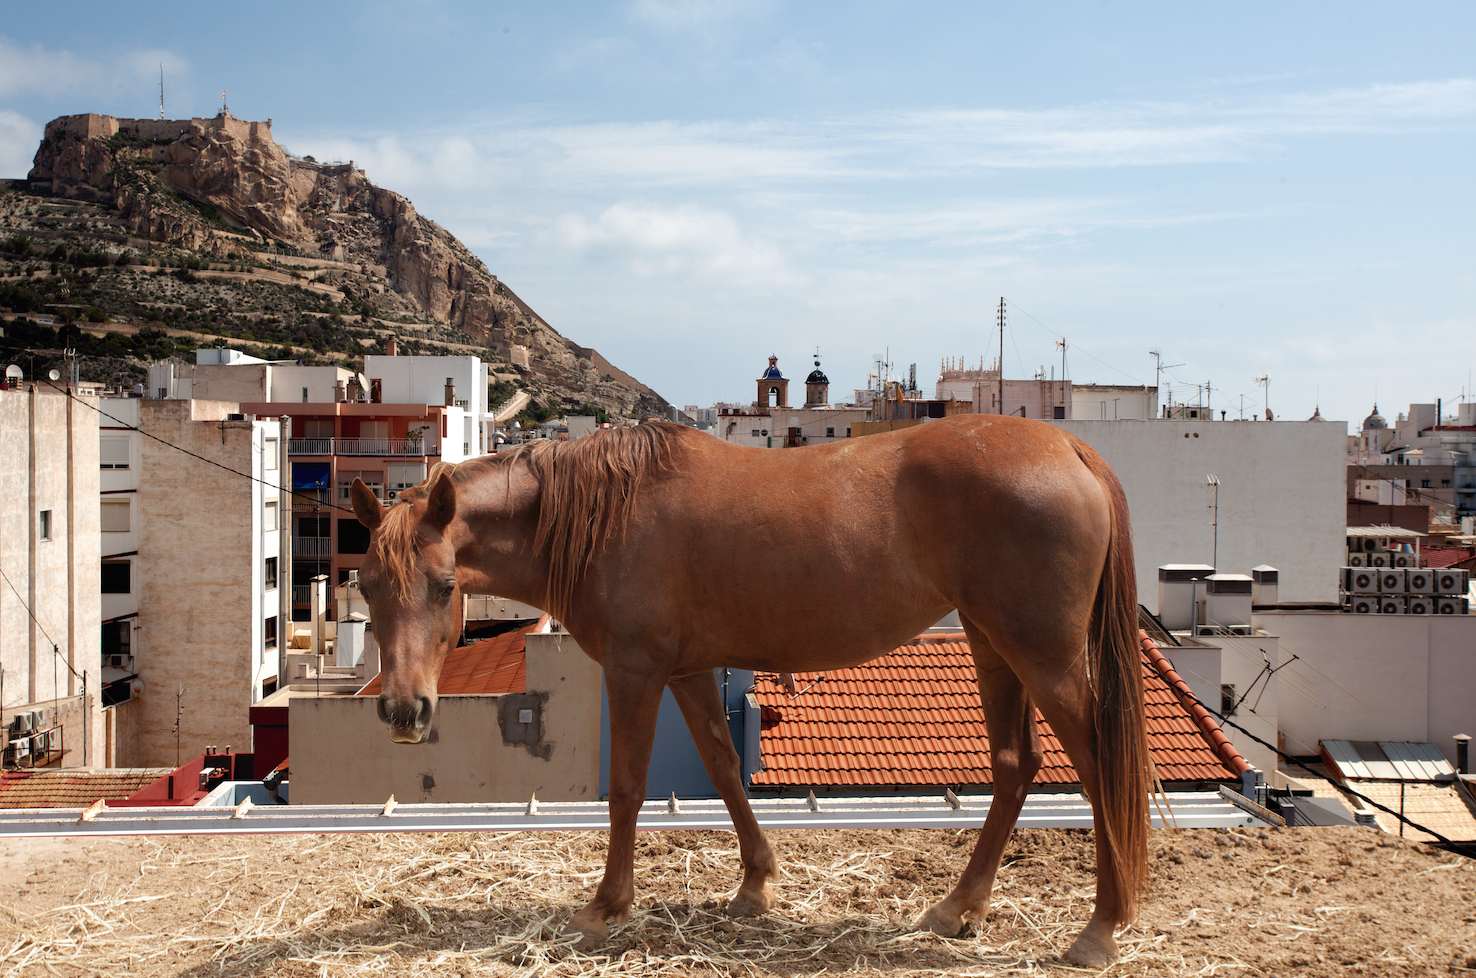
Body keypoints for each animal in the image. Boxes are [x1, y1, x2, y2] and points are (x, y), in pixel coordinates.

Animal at [348, 410, 1151, 961]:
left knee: (1098, 765)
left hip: (1043, 658)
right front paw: (756, 884)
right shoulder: (688, 670)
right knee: (1017, 766)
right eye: (366, 586)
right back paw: (959, 908)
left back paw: (1101, 929)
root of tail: (1069, 448)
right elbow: (724, 766)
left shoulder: (635, 671)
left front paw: (606, 907)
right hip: (994, 645)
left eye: (444, 585)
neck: (607, 513)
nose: (403, 710)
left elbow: (628, 789)